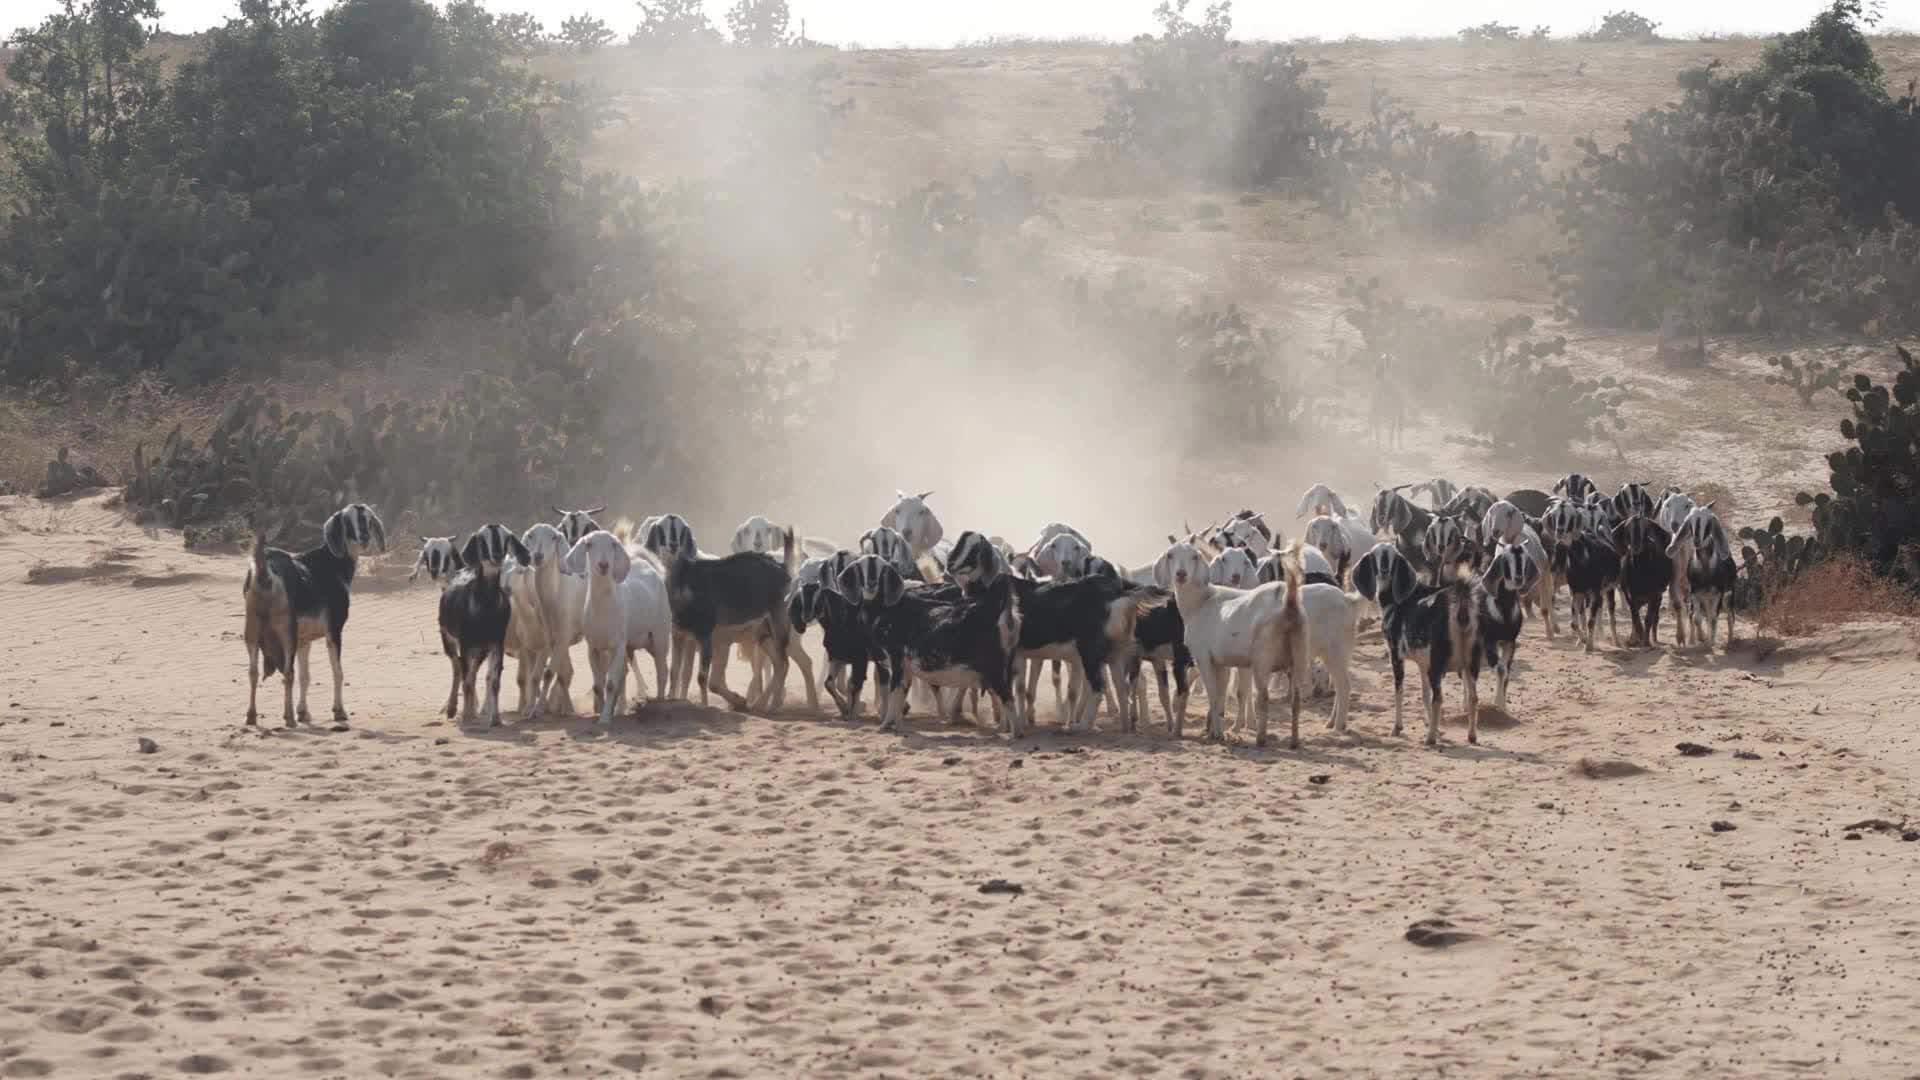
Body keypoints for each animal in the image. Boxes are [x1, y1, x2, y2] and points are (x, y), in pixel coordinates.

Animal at [243, 503, 385, 722]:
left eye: (368, 519)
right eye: (347, 521)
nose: (364, 537)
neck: (329, 563)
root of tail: (265, 575)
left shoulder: (305, 639)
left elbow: (305, 676)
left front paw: (303, 712)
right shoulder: (334, 630)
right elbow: (337, 672)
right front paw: (339, 711)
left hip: (252, 631)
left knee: (253, 672)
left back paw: (252, 716)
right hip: (286, 633)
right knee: (288, 672)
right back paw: (288, 717)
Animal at [433, 522, 526, 722]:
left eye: (505, 537)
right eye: (483, 540)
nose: (497, 555)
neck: (485, 609)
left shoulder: (496, 643)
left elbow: (494, 680)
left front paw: (495, 719)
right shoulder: (465, 643)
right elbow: (466, 679)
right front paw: (467, 716)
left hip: (481, 649)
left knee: (472, 672)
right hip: (449, 639)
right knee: (457, 668)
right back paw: (452, 709)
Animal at [564, 526, 672, 722]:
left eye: (613, 544)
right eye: (589, 544)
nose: (604, 565)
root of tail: (648, 567)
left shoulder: (617, 645)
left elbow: (611, 683)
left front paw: (605, 719)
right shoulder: (594, 647)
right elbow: (598, 684)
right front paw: (600, 711)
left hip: (660, 637)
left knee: (662, 671)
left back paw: (659, 704)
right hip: (629, 645)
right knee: (626, 673)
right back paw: (621, 709)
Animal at [1152, 541, 1305, 745]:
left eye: (1194, 556)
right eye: (1170, 555)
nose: (1181, 574)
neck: (1201, 601)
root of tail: (1288, 602)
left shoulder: (1203, 657)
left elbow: (1213, 694)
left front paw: (1217, 733)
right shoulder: (1221, 662)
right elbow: (1221, 695)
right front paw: (1216, 730)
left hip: (1263, 658)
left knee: (1263, 697)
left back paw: (1261, 739)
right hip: (1300, 653)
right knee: (1296, 700)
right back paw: (1294, 742)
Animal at [1351, 541, 1482, 745]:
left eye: (1392, 555)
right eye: (1376, 555)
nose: (1384, 569)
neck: (1399, 602)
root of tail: (1460, 606)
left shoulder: (1396, 655)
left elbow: (1399, 691)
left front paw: (1397, 728)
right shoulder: (1422, 664)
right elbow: (1424, 694)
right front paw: (1434, 728)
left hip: (1437, 665)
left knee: (1439, 698)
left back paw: (1430, 739)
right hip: (1469, 663)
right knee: (1473, 698)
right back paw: (1471, 736)